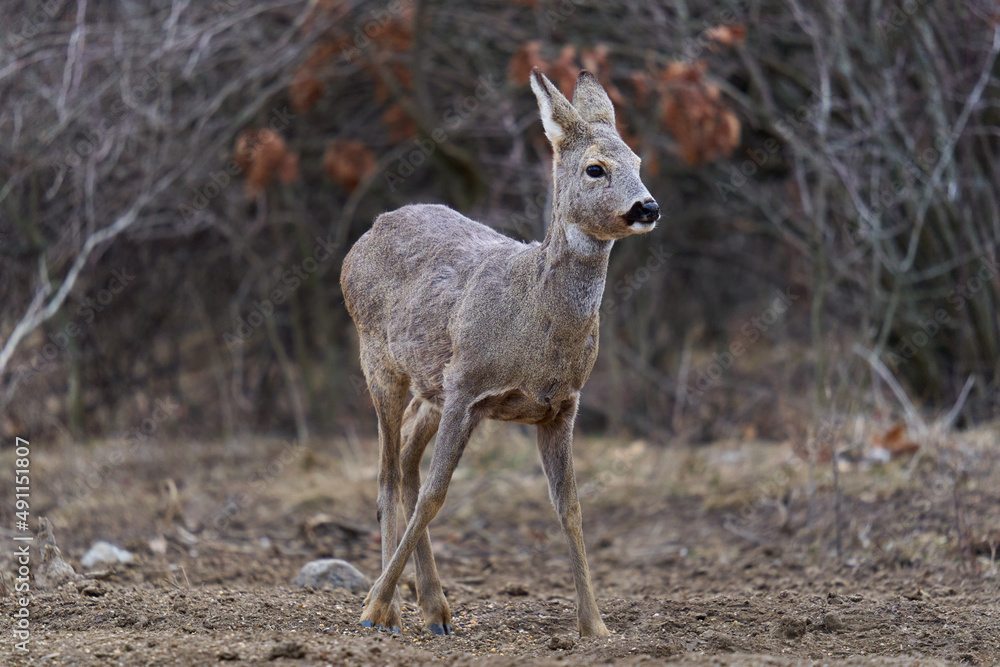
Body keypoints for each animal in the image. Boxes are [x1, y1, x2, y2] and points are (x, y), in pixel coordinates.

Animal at [340, 67, 660, 638]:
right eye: (595, 168)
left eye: (639, 162)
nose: (648, 206)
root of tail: (367, 233)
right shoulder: (469, 385)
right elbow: (437, 495)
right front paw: (373, 608)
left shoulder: (561, 406)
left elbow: (570, 507)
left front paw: (595, 626)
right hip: (379, 359)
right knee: (387, 476)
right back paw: (390, 611)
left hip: (432, 387)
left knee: (406, 461)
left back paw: (434, 609)